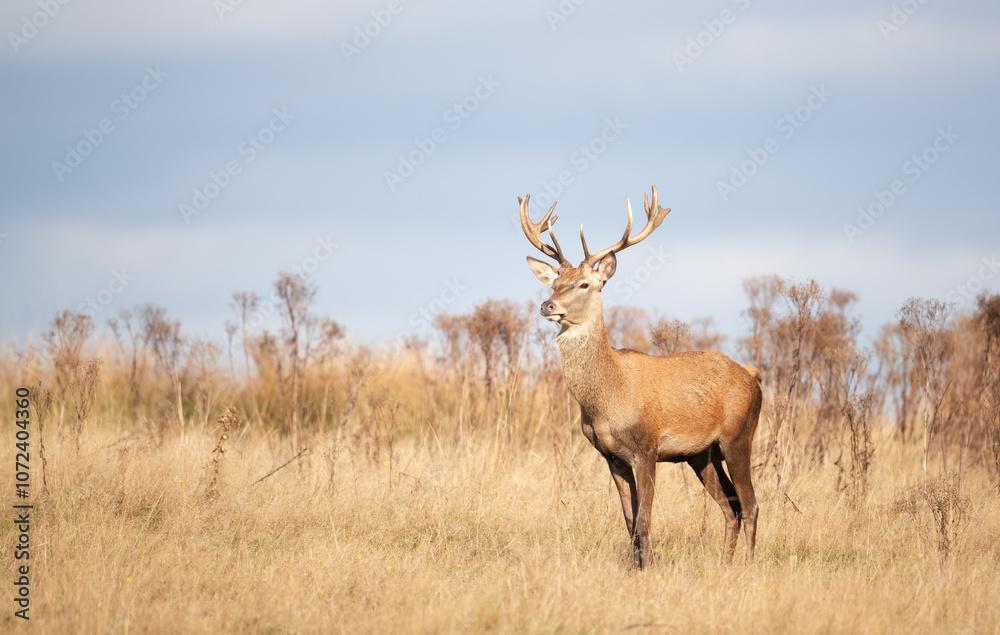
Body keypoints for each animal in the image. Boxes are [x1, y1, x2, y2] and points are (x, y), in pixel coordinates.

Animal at [519, 186, 762, 570]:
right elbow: (629, 520)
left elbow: (646, 518)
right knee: (731, 507)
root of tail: (753, 376)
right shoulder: (611, 457)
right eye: (555, 283)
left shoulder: (647, 448)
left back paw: (746, 568)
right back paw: (724, 566)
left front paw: (648, 569)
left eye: (584, 284)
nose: (548, 305)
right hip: (702, 455)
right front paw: (637, 567)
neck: (607, 401)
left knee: (751, 504)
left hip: (739, 436)